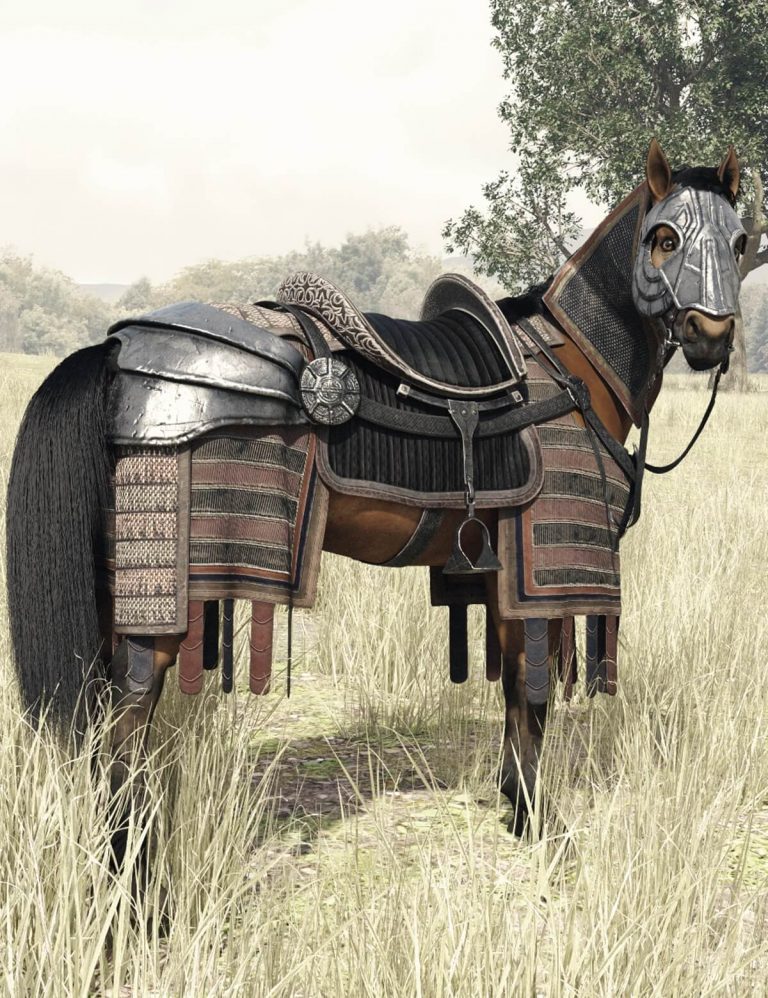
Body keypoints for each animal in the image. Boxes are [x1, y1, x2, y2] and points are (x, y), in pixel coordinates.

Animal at [6, 139, 745, 863]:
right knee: (126, 721)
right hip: (161, 594)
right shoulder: (541, 572)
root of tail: (119, 349)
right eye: (665, 237)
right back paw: (133, 877)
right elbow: (532, 692)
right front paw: (535, 822)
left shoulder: (503, 569)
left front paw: (514, 804)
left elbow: (514, 689)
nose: (711, 334)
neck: (577, 365)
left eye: (741, 241)